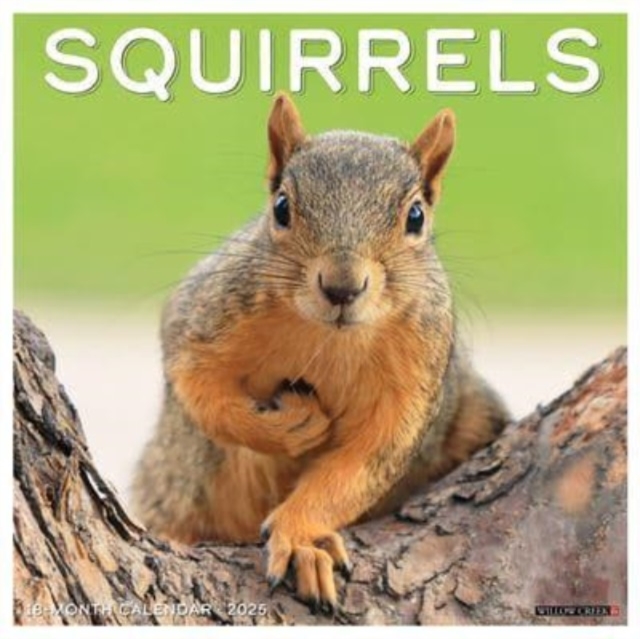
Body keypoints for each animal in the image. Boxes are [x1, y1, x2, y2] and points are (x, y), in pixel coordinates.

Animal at [131, 94, 510, 613]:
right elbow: (199, 391)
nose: (342, 287)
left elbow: (361, 466)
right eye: (281, 207)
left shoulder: (416, 380)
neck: (329, 339)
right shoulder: (203, 316)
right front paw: (288, 426)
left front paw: (302, 539)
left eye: (415, 217)